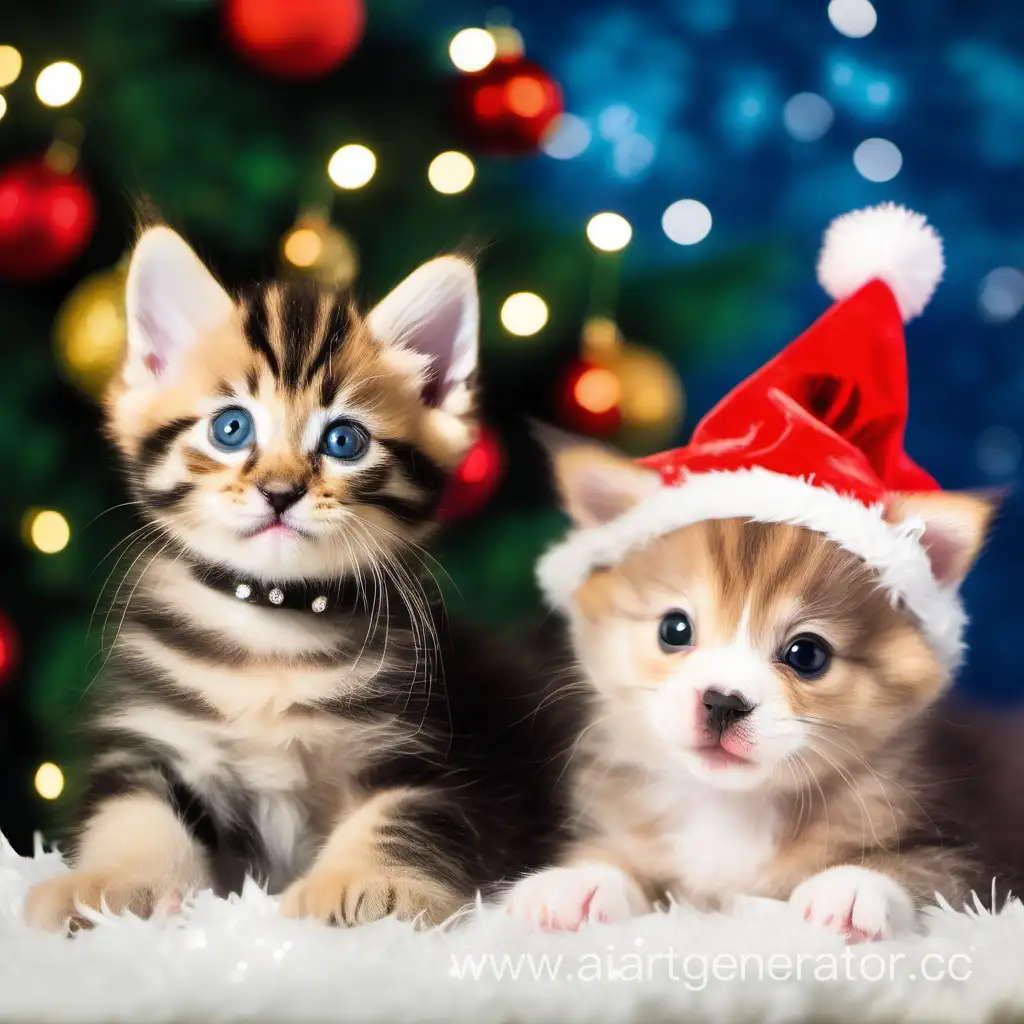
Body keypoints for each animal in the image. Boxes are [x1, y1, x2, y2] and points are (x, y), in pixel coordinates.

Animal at [25, 228, 577, 933]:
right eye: (231, 428)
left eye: (344, 441)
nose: (280, 491)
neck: (273, 628)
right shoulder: (154, 738)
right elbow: (132, 811)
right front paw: (108, 885)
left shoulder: (435, 750)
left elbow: (407, 816)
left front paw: (371, 882)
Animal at [503, 201, 1007, 942]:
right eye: (674, 629)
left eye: (807, 654)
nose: (722, 701)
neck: (730, 810)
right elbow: (623, 858)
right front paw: (579, 881)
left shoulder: (972, 858)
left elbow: (919, 875)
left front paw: (851, 888)